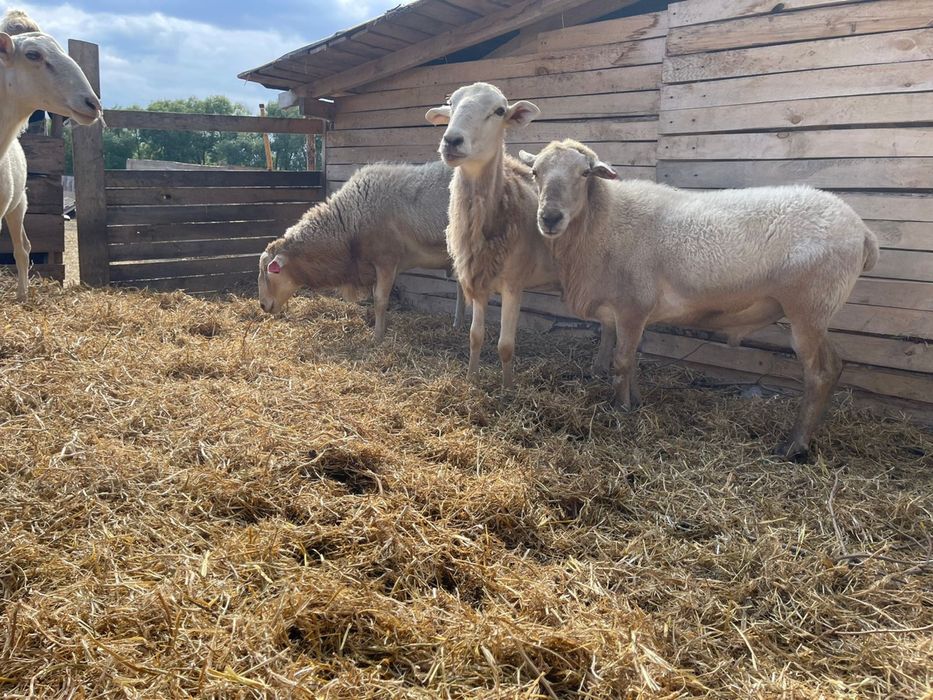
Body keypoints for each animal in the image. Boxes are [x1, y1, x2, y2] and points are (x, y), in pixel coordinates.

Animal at [258, 159, 465, 341]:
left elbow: (380, 300)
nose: (262, 305)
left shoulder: (387, 261)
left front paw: (378, 337)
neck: (350, 221)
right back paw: (457, 325)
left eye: (271, 270)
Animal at [426, 82, 615, 387]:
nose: (452, 141)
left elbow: (505, 345)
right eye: (451, 104)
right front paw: (471, 379)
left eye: (499, 111)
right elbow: (475, 336)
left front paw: (507, 388)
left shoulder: (514, 285)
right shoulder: (478, 279)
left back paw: (601, 367)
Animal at [519, 139, 879, 460]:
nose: (549, 218)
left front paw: (620, 411)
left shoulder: (633, 305)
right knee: (835, 366)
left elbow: (620, 362)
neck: (606, 222)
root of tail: (863, 233)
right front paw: (635, 402)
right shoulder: (629, 311)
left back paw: (794, 445)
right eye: (536, 172)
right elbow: (631, 360)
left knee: (819, 374)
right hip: (819, 311)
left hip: (809, 306)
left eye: (584, 173)